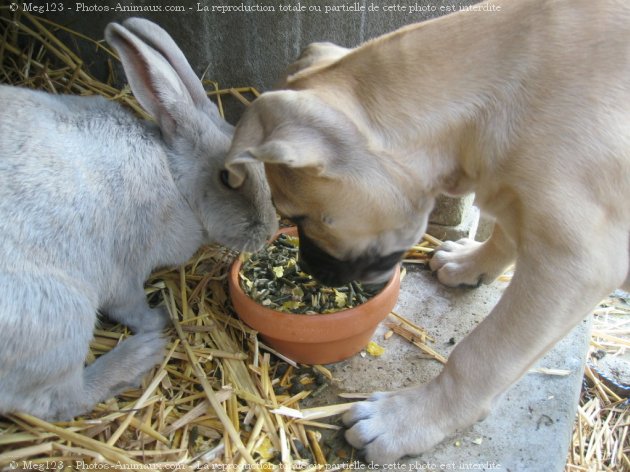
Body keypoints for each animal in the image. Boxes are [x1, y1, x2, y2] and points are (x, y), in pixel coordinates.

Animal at [0, 17, 278, 420]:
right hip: (62, 314)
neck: (174, 181)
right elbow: (132, 307)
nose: (269, 230)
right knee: (57, 401)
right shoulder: (125, 272)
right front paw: (161, 317)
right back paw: (140, 354)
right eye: (228, 178)